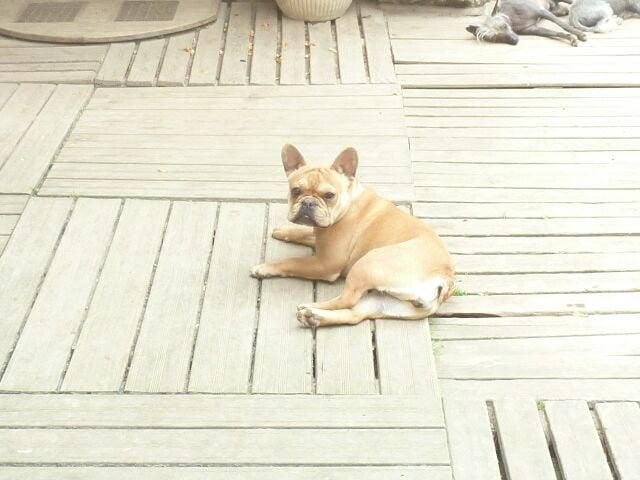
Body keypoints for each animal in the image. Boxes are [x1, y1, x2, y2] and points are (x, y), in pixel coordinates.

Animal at [250, 144, 454, 328]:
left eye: (329, 195)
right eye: (296, 191)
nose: (308, 202)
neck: (349, 200)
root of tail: (444, 278)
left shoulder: (325, 263)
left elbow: (292, 262)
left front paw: (265, 267)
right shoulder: (320, 233)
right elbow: (305, 232)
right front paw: (283, 231)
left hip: (367, 263)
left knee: (346, 300)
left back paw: (309, 307)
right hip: (385, 303)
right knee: (355, 314)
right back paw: (313, 316)